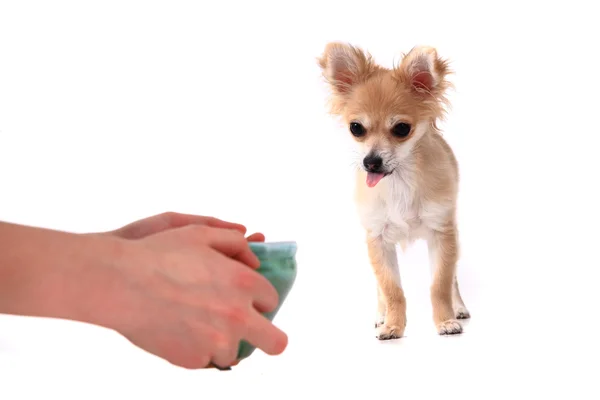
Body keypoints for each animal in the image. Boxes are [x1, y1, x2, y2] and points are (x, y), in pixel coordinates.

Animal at [316, 43, 472, 338]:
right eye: (356, 128)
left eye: (401, 129)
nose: (370, 161)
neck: (399, 182)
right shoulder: (377, 240)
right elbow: (391, 289)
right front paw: (393, 326)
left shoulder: (442, 234)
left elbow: (441, 284)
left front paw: (445, 321)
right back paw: (381, 315)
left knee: (454, 278)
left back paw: (458, 307)